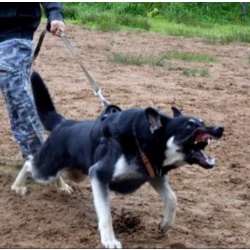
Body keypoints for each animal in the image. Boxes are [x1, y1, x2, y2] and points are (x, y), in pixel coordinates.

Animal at [11, 71, 225, 249]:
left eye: (202, 122)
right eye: (189, 125)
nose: (219, 128)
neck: (144, 144)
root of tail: (63, 123)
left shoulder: (152, 175)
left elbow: (172, 198)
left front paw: (165, 223)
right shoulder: (98, 174)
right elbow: (105, 215)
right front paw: (110, 240)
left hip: (76, 172)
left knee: (57, 172)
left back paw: (62, 187)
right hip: (47, 170)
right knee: (30, 162)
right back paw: (18, 186)